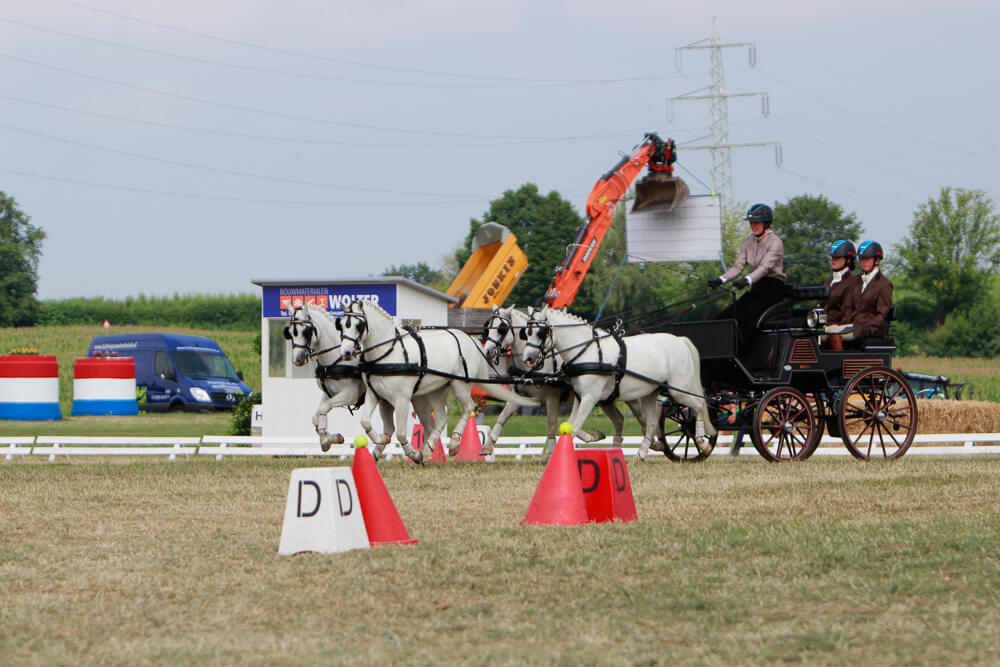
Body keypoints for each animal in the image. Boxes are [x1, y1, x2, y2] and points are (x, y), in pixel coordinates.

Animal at [284, 304, 396, 452]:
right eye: (290, 333)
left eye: (306, 332)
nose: (297, 360)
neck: (335, 360)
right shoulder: (329, 393)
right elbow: (316, 418)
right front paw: (332, 438)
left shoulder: (351, 394)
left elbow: (323, 408)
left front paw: (326, 440)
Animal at [338, 302, 540, 464]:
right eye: (341, 325)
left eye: (358, 325)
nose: (346, 352)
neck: (389, 353)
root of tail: (471, 340)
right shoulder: (375, 396)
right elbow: (365, 423)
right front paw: (379, 441)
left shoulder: (402, 399)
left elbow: (401, 433)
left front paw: (413, 454)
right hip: (436, 390)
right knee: (441, 419)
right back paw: (428, 449)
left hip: (460, 386)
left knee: (468, 407)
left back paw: (453, 443)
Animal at [478, 306, 624, 462]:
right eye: (488, 327)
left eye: (502, 329)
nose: (487, 351)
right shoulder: (518, 396)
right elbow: (502, 417)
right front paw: (487, 446)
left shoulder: (552, 398)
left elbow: (552, 425)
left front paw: (549, 454)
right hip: (604, 399)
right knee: (618, 419)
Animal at [520, 306, 716, 460]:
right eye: (526, 332)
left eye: (540, 332)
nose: (527, 358)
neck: (587, 350)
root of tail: (680, 341)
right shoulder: (580, 397)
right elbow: (568, 425)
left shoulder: (590, 398)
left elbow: (574, 427)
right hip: (650, 393)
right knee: (652, 423)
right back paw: (640, 455)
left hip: (679, 391)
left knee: (699, 406)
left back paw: (701, 441)